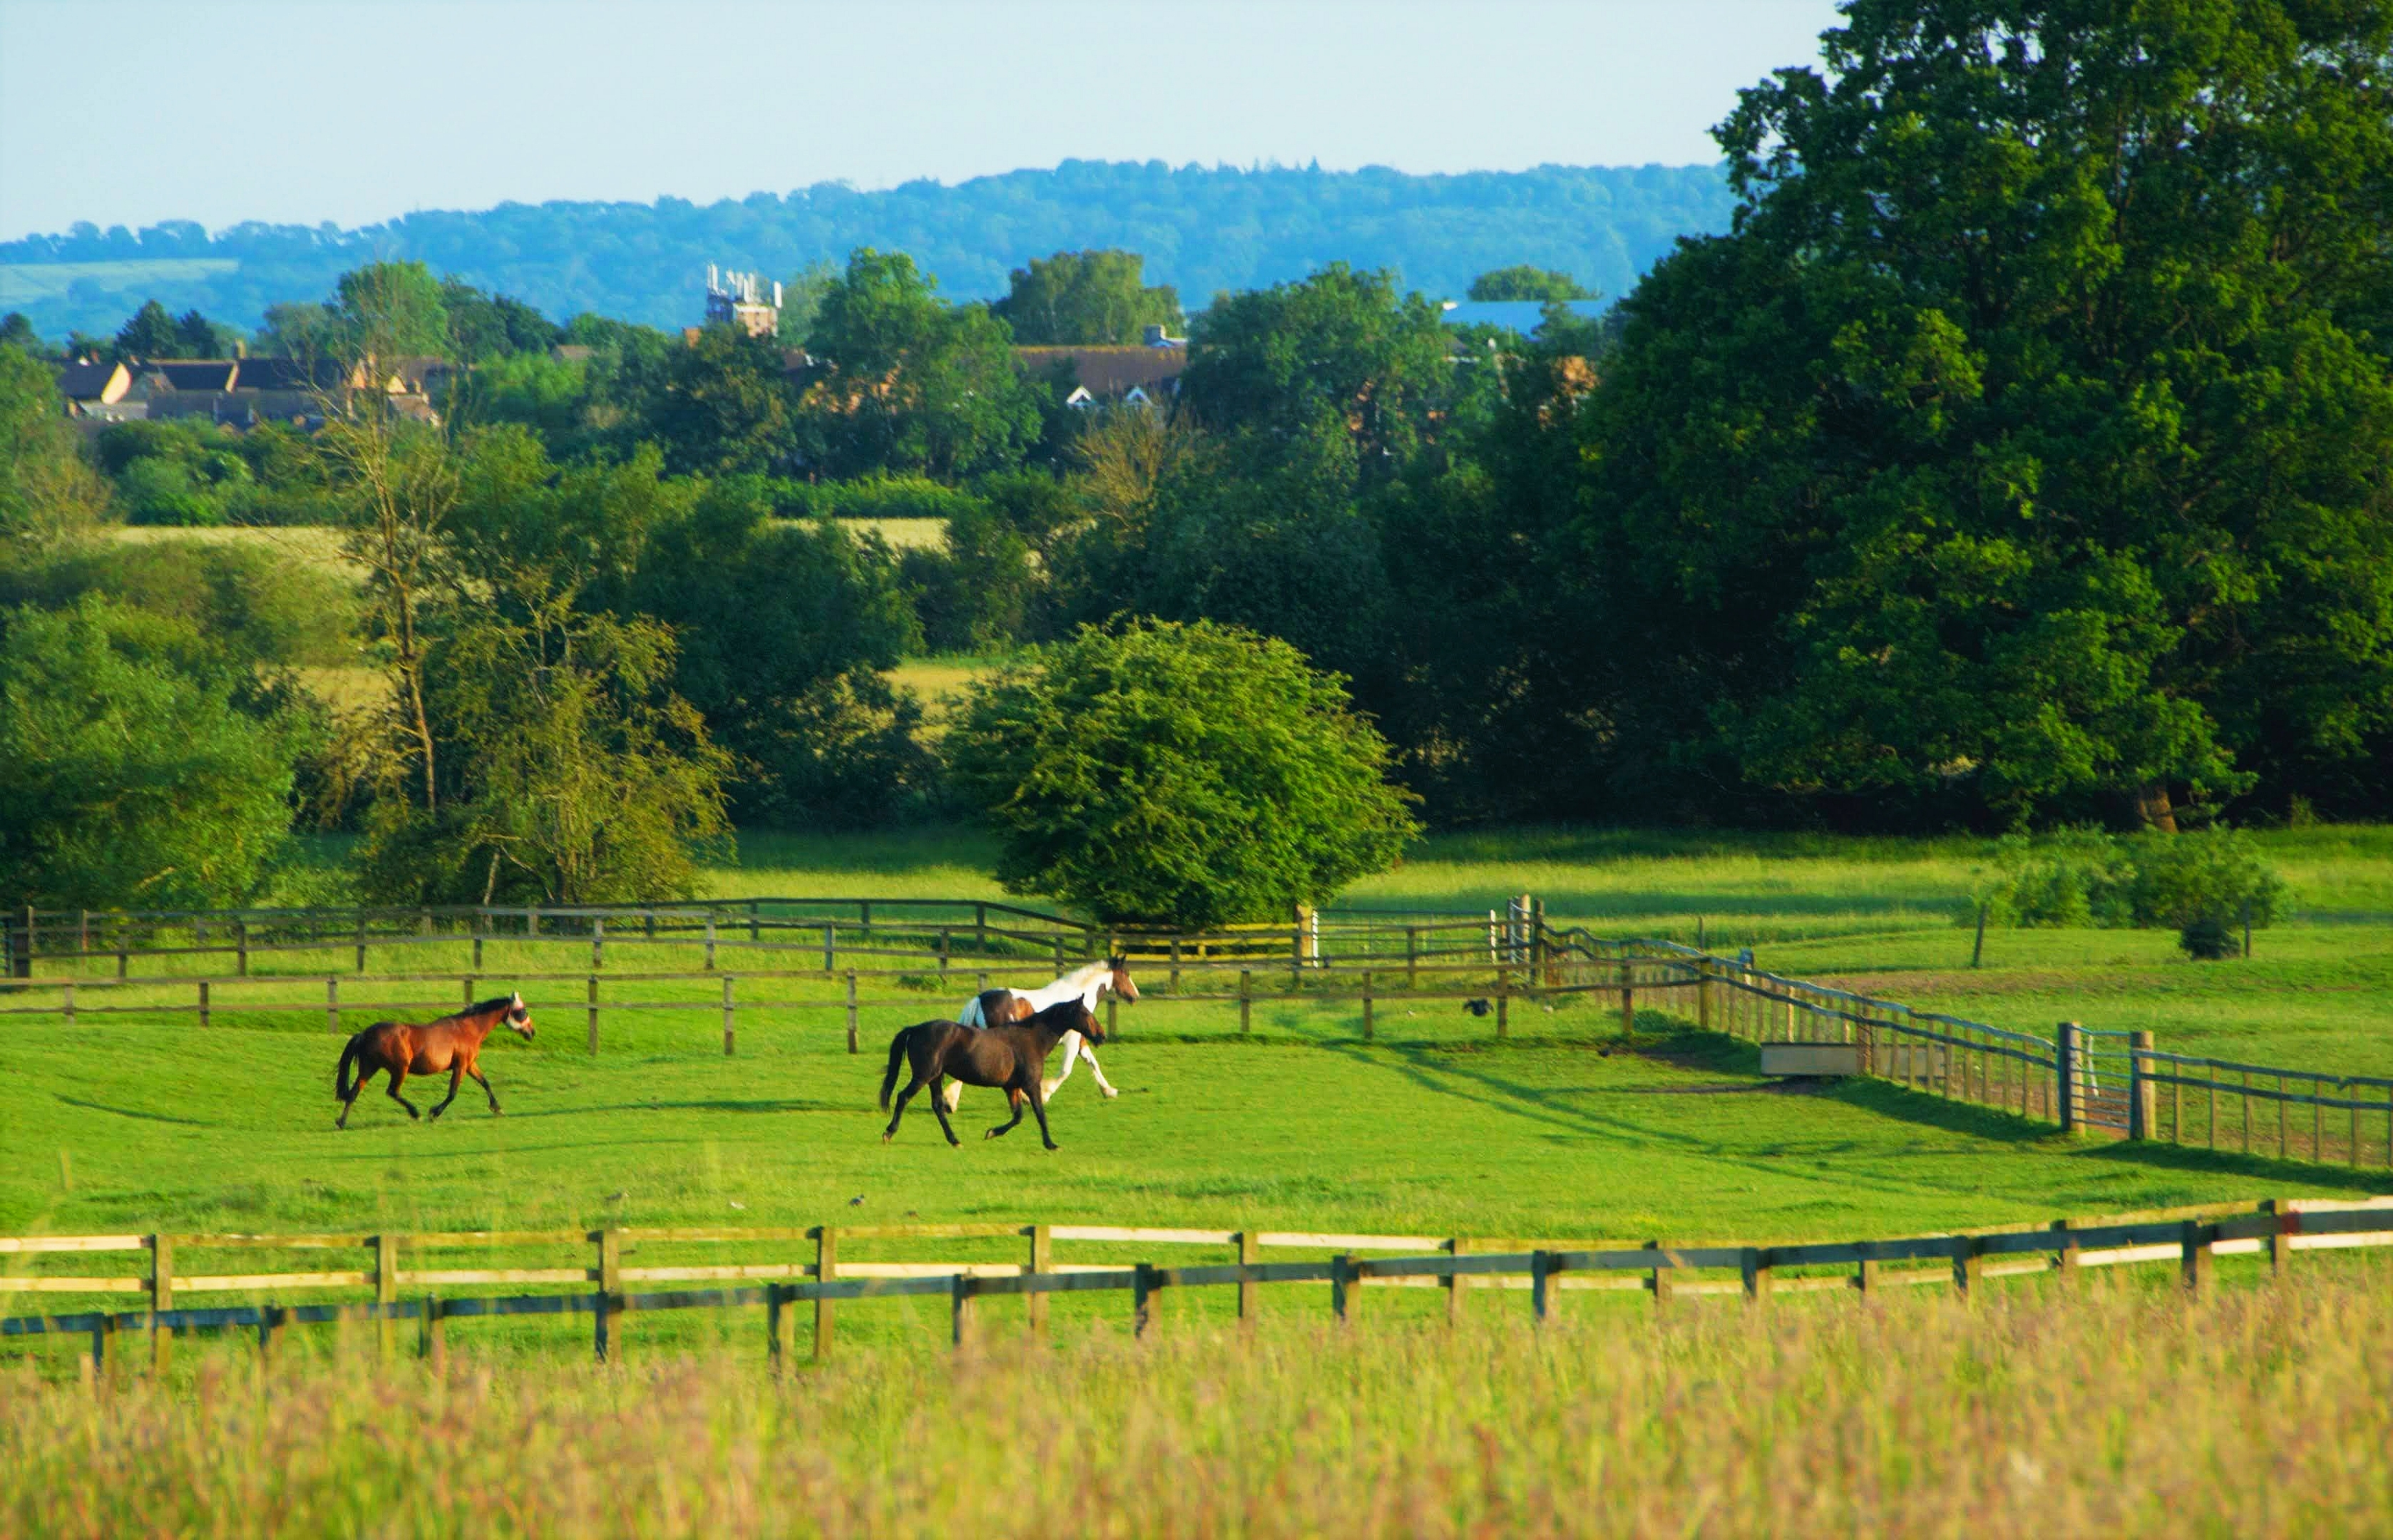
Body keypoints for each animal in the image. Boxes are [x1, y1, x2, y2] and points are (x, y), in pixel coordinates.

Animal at [334, 995, 536, 1124]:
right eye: (522, 1011)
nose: (532, 1032)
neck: (468, 1028)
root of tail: (365, 1034)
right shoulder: (460, 1066)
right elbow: (452, 1093)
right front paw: (434, 1113)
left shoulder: (470, 1065)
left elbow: (485, 1082)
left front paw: (497, 1108)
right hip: (400, 1069)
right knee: (392, 1091)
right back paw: (415, 1113)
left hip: (369, 1068)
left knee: (354, 1092)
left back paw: (341, 1122)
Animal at [881, 995, 1100, 1147]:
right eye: (1086, 1014)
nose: (1101, 1036)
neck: (1032, 1039)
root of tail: (916, 1029)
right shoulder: (1031, 1085)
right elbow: (1039, 1113)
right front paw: (1051, 1144)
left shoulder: (1011, 1087)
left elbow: (1018, 1116)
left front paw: (991, 1133)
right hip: (923, 1076)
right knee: (903, 1097)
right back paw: (889, 1133)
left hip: (935, 1077)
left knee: (937, 1106)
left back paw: (954, 1140)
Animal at [938, 956, 1134, 1114]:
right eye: (1126, 973)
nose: (1135, 995)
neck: (1075, 998)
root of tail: (978, 1000)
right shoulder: (1071, 1041)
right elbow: (1066, 1070)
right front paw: (1044, 1094)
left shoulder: (1080, 1040)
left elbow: (1092, 1062)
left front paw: (1109, 1091)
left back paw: (950, 1102)